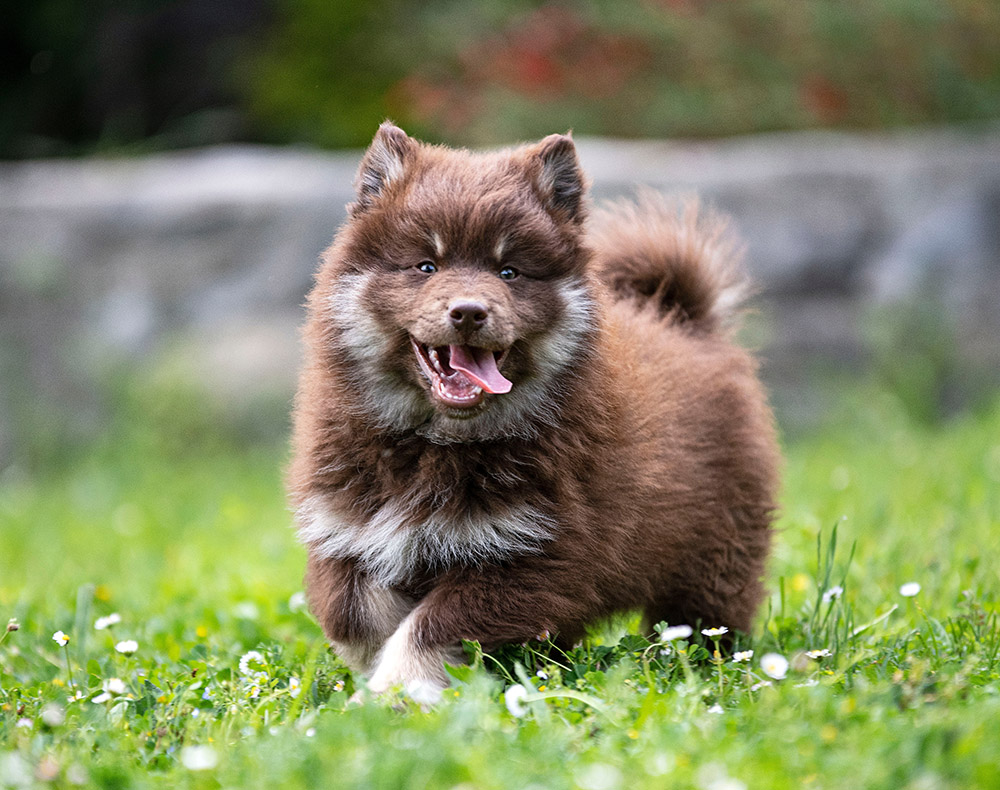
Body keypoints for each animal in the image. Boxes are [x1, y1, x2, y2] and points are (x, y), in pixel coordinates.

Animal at [290, 124, 780, 704]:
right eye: (426, 266)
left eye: (510, 271)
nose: (469, 311)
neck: (435, 445)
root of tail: (682, 317)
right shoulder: (346, 530)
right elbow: (356, 615)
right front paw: (373, 676)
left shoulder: (534, 552)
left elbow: (431, 627)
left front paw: (398, 691)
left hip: (715, 551)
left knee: (709, 615)